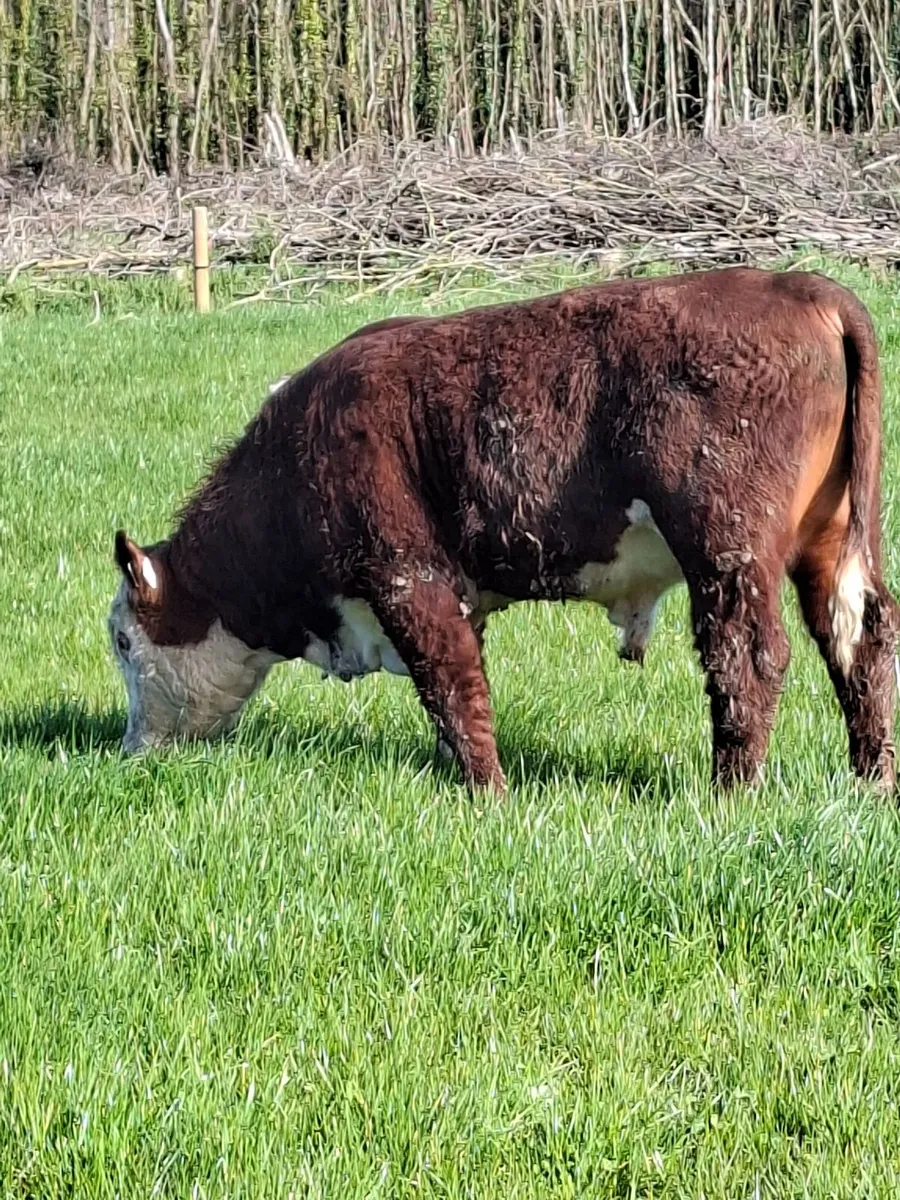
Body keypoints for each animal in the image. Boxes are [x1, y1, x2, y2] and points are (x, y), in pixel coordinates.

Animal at [108, 266, 899, 796]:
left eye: (121, 640)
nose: (129, 750)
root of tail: (801, 286)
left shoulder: (406, 579)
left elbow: (450, 684)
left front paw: (486, 790)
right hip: (830, 542)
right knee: (860, 635)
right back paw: (871, 778)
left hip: (726, 547)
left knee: (748, 655)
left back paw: (731, 789)